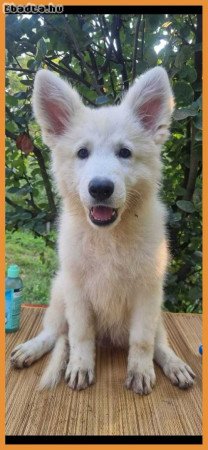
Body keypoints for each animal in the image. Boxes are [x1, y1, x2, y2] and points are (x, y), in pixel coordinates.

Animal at [10, 66, 195, 394]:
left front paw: (140, 371)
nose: (100, 188)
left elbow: (142, 341)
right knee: (55, 331)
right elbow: (80, 336)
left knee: (159, 341)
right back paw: (31, 348)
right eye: (82, 153)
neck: (109, 237)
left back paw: (174, 364)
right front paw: (80, 367)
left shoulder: (148, 292)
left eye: (125, 153)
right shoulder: (78, 293)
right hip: (60, 291)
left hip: (157, 310)